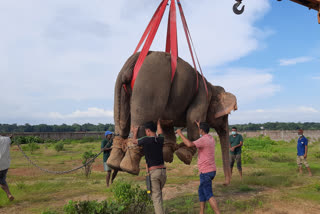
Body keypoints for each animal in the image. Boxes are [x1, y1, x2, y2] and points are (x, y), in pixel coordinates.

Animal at [107, 51, 238, 185]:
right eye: (225, 116)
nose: (225, 183)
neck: (211, 86)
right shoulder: (203, 96)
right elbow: (193, 117)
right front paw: (184, 155)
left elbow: (166, 121)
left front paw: (167, 154)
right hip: (151, 83)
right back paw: (130, 167)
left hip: (122, 87)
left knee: (121, 121)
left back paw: (113, 163)